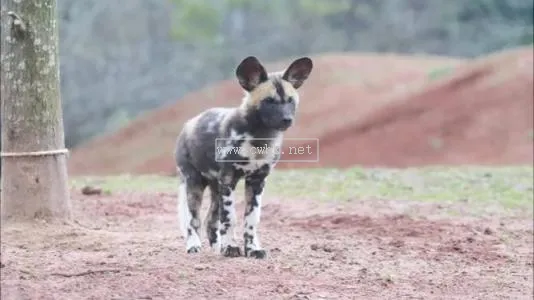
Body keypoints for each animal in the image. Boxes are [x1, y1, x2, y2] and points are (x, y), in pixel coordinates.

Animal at [175, 55, 314, 258]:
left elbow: (251, 219)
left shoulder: (257, 181)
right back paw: (194, 246)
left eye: (290, 101)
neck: (259, 138)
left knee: (210, 220)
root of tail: (188, 124)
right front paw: (231, 247)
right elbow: (229, 218)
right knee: (194, 220)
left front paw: (252, 249)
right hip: (195, 183)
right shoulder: (229, 180)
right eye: (269, 101)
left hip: (216, 189)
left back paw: (216, 248)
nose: (287, 119)